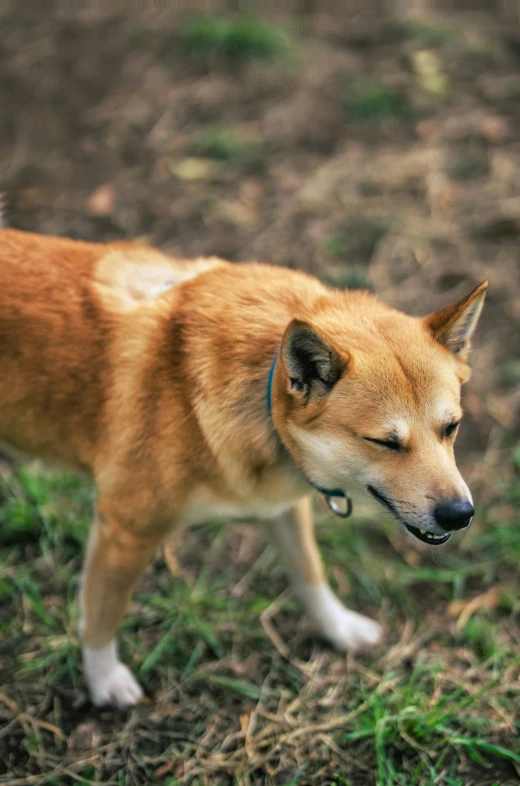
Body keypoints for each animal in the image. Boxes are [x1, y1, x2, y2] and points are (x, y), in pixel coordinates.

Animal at [0, 228, 486, 704]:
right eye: (384, 442)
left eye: (452, 427)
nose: (460, 515)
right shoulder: (125, 530)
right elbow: (102, 615)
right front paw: (104, 681)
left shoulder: (279, 505)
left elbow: (309, 572)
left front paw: (339, 628)